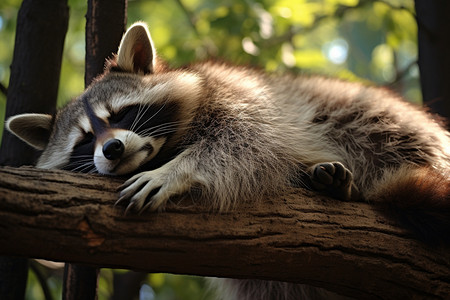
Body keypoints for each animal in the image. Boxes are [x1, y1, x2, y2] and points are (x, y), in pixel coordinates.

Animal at [4, 21, 450, 300]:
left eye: (120, 115)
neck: (165, 145)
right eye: (84, 141)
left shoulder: (240, 93)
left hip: (363, 114)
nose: (112, 149)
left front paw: (178, 170)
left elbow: (246, 139)